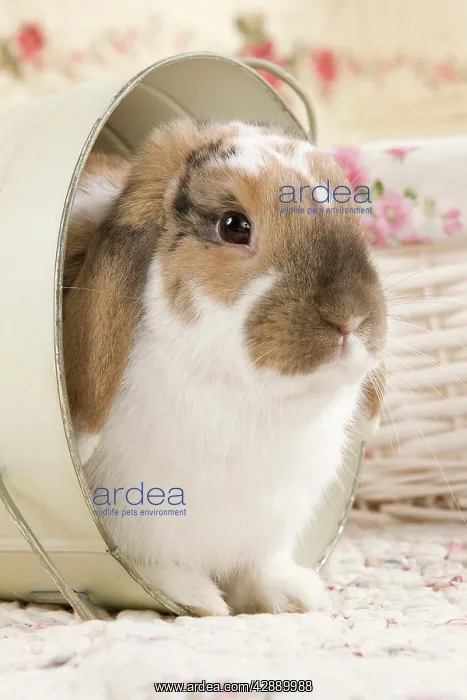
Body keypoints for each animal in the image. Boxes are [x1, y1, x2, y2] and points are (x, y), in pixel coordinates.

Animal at [63, 118, 387, 616]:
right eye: (234, 226)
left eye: (355, 217)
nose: (349, 317)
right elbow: (148, 567)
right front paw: (201, 600)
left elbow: (256, 570)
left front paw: (297, 596)